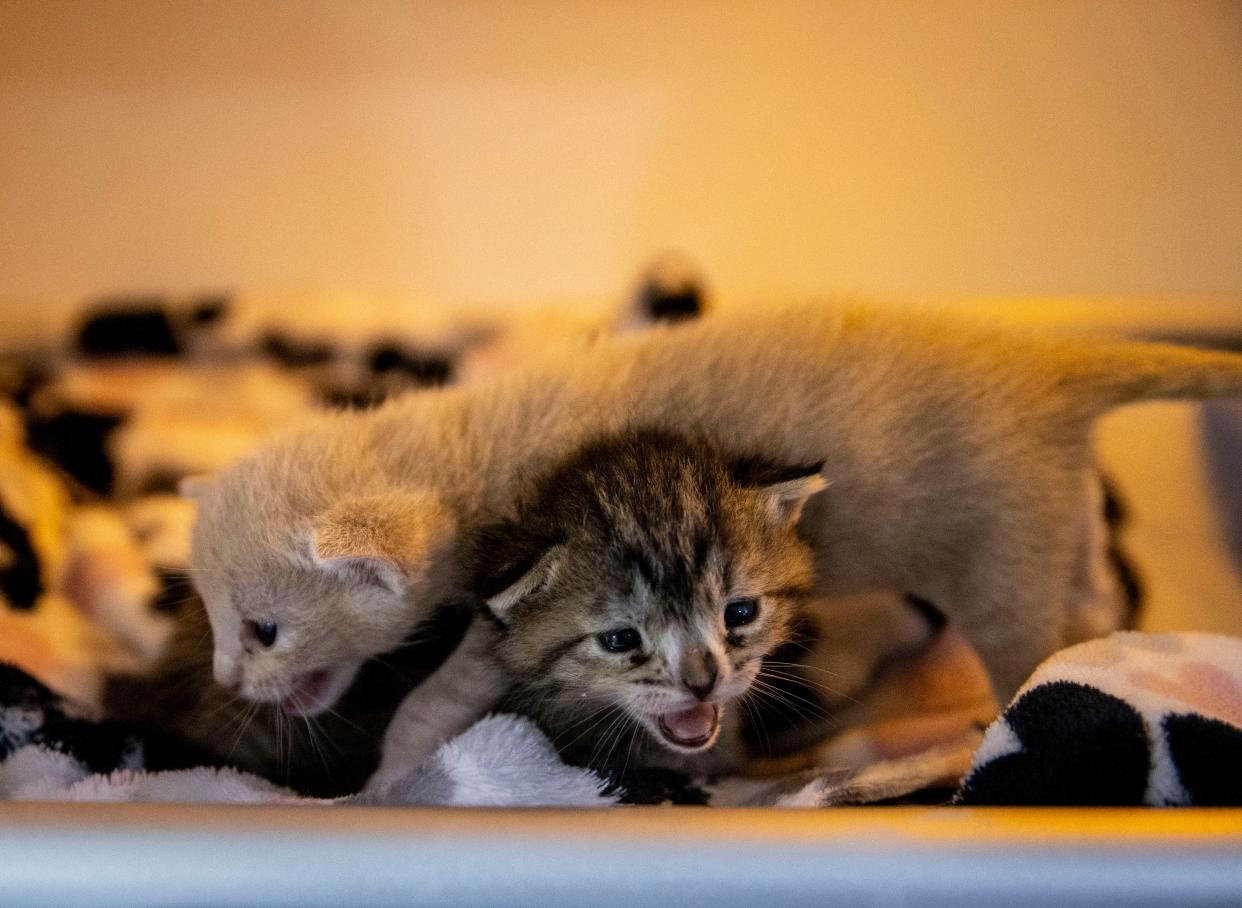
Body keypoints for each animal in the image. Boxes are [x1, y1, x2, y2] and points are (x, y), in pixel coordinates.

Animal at [183, 305, 1242, 725]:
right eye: (213, 621)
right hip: (1059, 521)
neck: (463, 439)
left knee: (1035, 644)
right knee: (1093, 597)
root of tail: (1046, 357)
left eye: (263, 630)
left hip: (1002, 557)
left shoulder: (513, 616)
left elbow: (427, 707)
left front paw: (384, 782)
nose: (227, 678)